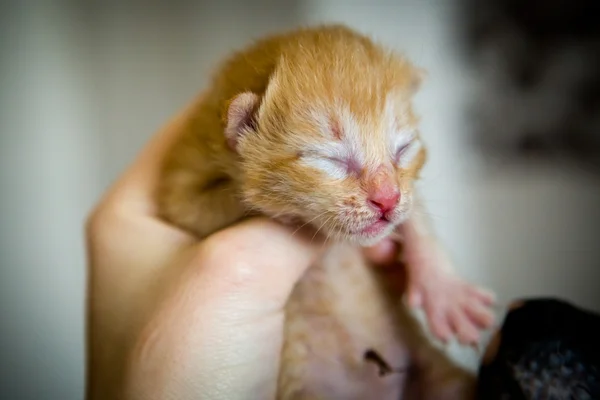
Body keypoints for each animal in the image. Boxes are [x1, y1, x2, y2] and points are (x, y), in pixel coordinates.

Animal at [157, 24, 494, 396]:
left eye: (403, 148)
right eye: (330, 160)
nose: (387, 200)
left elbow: (415, 214)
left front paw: (446, 293)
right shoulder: (181, 189)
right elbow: (221, 201)